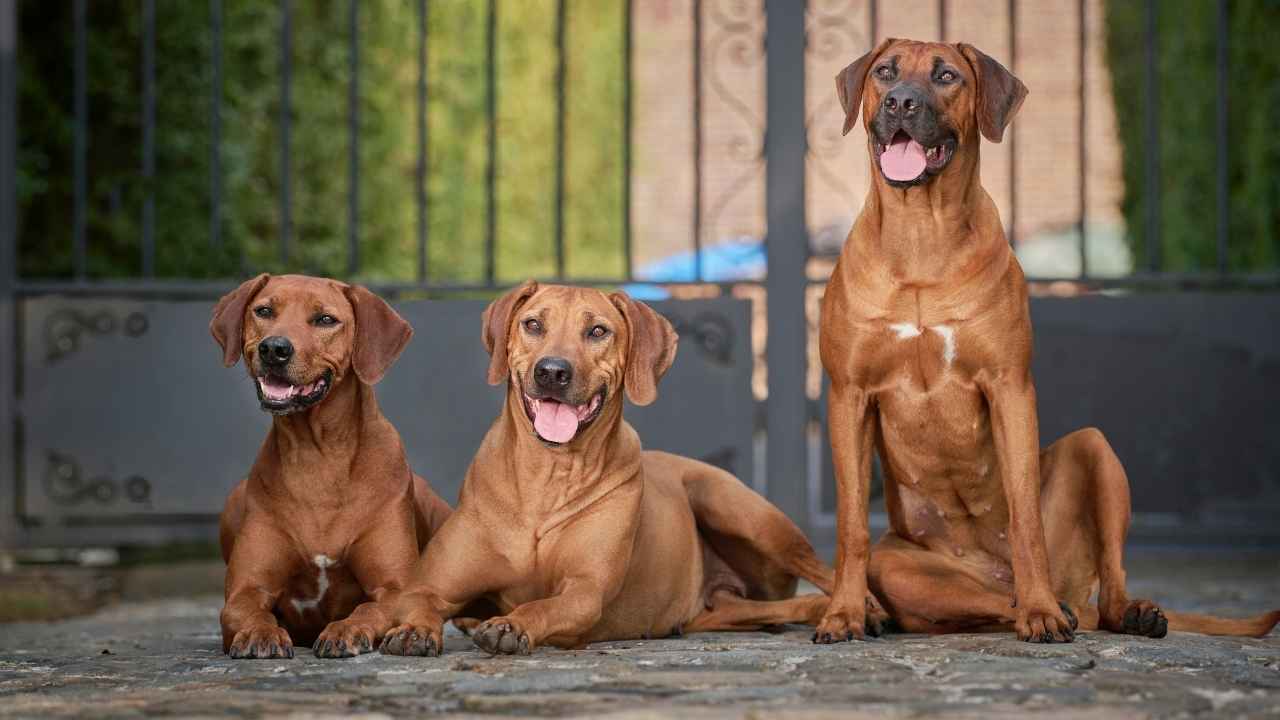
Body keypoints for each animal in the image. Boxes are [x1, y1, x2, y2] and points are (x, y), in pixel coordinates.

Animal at [208, 272, 450, 655]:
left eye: (325, 319)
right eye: (264, 311)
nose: (274, 349)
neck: (318, 457)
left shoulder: (394, 587)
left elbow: (368, 608)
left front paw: (345, 630)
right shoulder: (245, 590)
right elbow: (249, 610)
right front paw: (260, 632)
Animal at [373, 283, 844, 653]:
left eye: (597, 331)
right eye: (533, 324)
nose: (552, 372)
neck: (548, 473)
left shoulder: (585, 591)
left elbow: (544, 604)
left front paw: (513, 623)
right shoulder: (431, 585)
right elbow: (420, 600)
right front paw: (414, 630)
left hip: (736, 508)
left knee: (828, 574)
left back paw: (849, 613)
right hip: (719, 608)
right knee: (786, 604)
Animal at [814, 37, 1274, 645]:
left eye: (946, 76)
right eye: (885, 73)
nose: (901, 102)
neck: (921, 236)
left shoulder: (1009, 385)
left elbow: (1025, 515)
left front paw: (1040, 611)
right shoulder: (849, 394)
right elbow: (849, 527)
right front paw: (842, 613)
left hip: (1095, 450)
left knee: (1102, 591)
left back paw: (1085, 608)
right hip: (904, 565)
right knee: (971, 598)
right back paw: (892, 609)